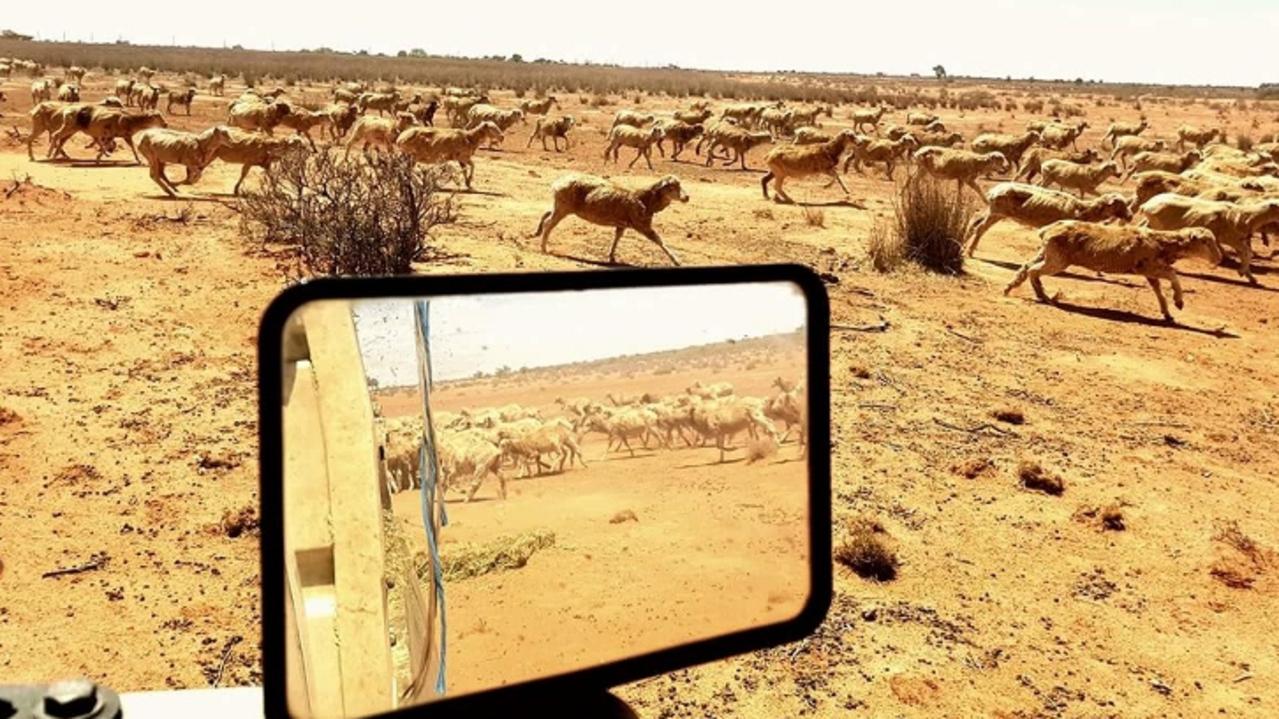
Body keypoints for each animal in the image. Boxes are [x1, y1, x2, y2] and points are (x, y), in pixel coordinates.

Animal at [532, 172, 690, 264]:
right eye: (672, 186)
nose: (687, 197)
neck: (645, 200)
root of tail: (556, 183)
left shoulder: (622, 224)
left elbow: (617, 238)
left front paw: (611, 257)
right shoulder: (642, 225)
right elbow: (659, 241)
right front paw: (677, 261)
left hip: (559, 206)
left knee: (546, 214)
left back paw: (537, 234)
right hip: (563, 208)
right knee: (548, 224)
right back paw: (544, 248)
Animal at [961, 181, 1135, 254]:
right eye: (1120, 204)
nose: (1130, 216)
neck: (1081, 209)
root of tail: (993, 190)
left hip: (995, 211)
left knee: (976, 222)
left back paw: (965, 244)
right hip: (997, 211)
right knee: (980, 228)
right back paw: (970, 251)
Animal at [1002, 218, 1222, 318]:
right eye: (1206, 242)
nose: (1219, 259)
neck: (1163, 243)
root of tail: (1048, 229)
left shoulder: (1150, 273)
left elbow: (1158, 291)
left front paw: (1167, 314)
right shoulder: (1149, 267)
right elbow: (1174, 275)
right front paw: (1179, 302)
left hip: (1047, 253)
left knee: (1026, 267)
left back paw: (1013, 289)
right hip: (1057, 260)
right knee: (1033, 270)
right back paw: (1045, 297)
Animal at [1140, 193, 1279, 282]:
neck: (1243, 215)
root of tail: (1146, 205)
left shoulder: (1236, 240)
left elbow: (1246, 254)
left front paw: (1249, 276)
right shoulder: (1232, 238)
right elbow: (1247, 253)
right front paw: (1243, 272)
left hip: (1150, 222)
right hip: (1158, 224)